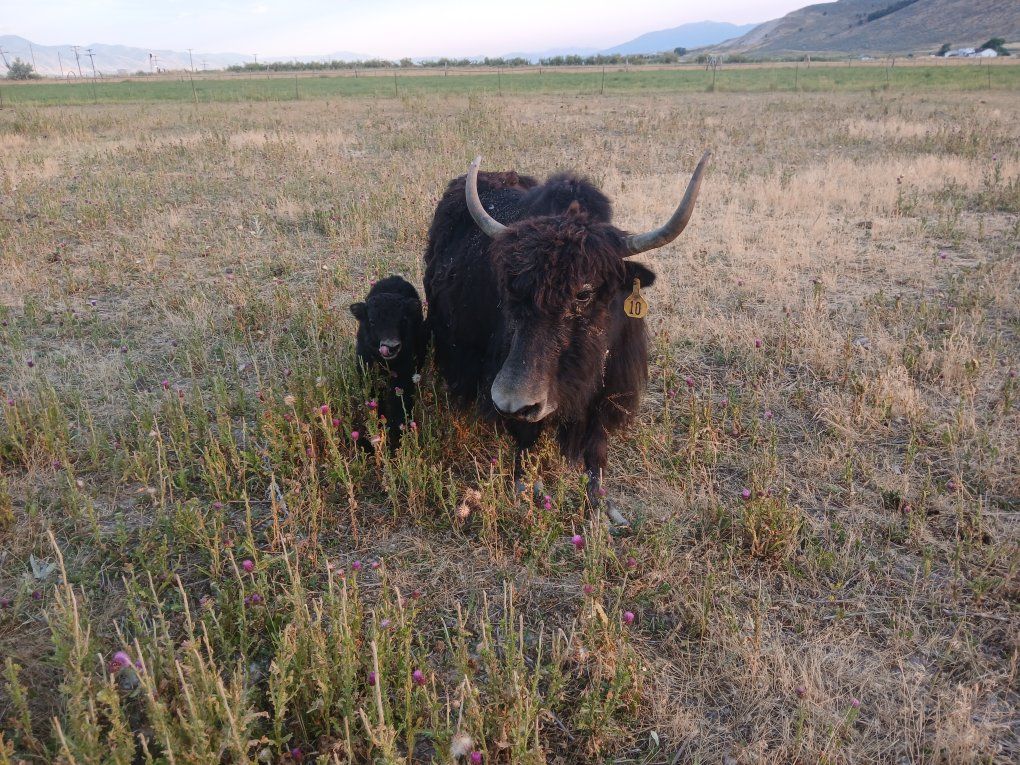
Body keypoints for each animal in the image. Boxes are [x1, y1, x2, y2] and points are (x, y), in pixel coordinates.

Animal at [424, 152, 709, 521]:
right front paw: (527, 489)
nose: (510, 401)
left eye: (584, 293)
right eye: (512, 290)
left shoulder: (609, 393)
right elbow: (526, 442)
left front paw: (604, 509)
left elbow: (597, 453)